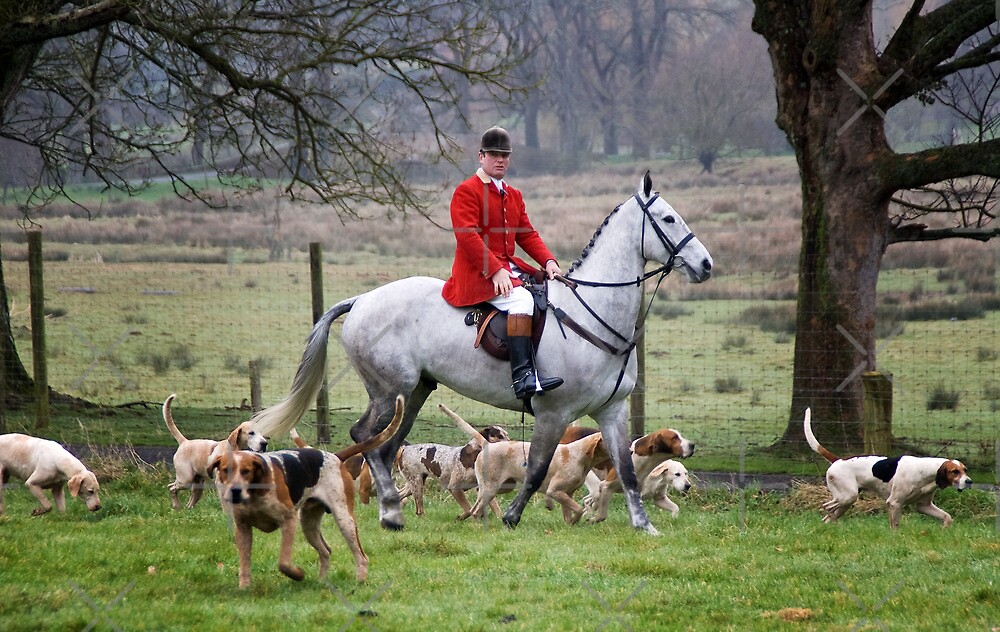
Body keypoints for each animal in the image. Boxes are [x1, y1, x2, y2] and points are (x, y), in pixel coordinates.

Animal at [251, 171, 713, 534]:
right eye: (669, 218)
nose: (706, 264)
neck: (593, 312)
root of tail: (362, 299)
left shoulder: (612, 410)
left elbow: (628, 472)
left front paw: (644, 525)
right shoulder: (554, 412)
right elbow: (537, 468)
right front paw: (511, 516)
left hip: (413, 394)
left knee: (385, 445)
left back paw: (392, 511)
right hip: (389, 389)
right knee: (365, 437)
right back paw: (390, 513)